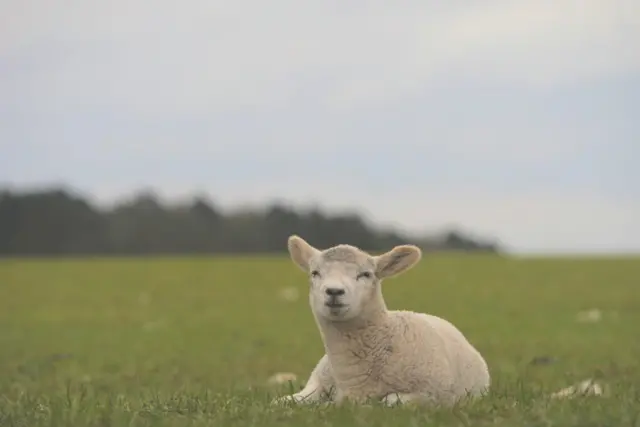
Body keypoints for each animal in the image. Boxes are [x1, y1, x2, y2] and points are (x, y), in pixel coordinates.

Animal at [270, 237, 490, 408]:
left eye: (365, 274)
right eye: (315, 273)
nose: (334, 291)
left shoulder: (432, 394)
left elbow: (390, 401)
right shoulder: (316, 384)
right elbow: (283, 401)